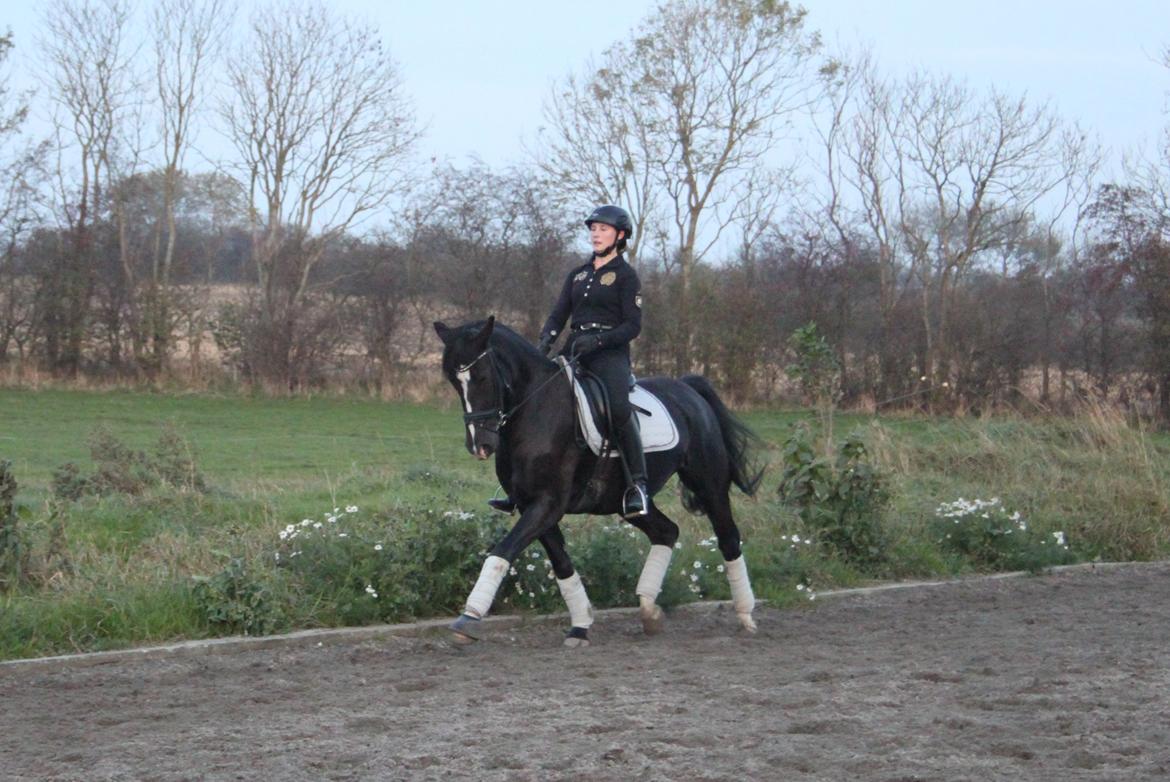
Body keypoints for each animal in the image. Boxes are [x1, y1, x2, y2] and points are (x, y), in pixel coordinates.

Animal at [435, 318, 762, 646]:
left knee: (728, 537)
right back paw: (649, 611)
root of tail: (688, 389)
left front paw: (469, 618)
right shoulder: (532, 504)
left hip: (708, 485)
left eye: (482, 376)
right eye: (454, 381)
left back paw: (746, 616)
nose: (480, 446)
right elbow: (561, 564)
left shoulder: (548, 504)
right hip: (623, 501)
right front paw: (581, 625)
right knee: (667, 531)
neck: (536, 410)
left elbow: (503, 550)